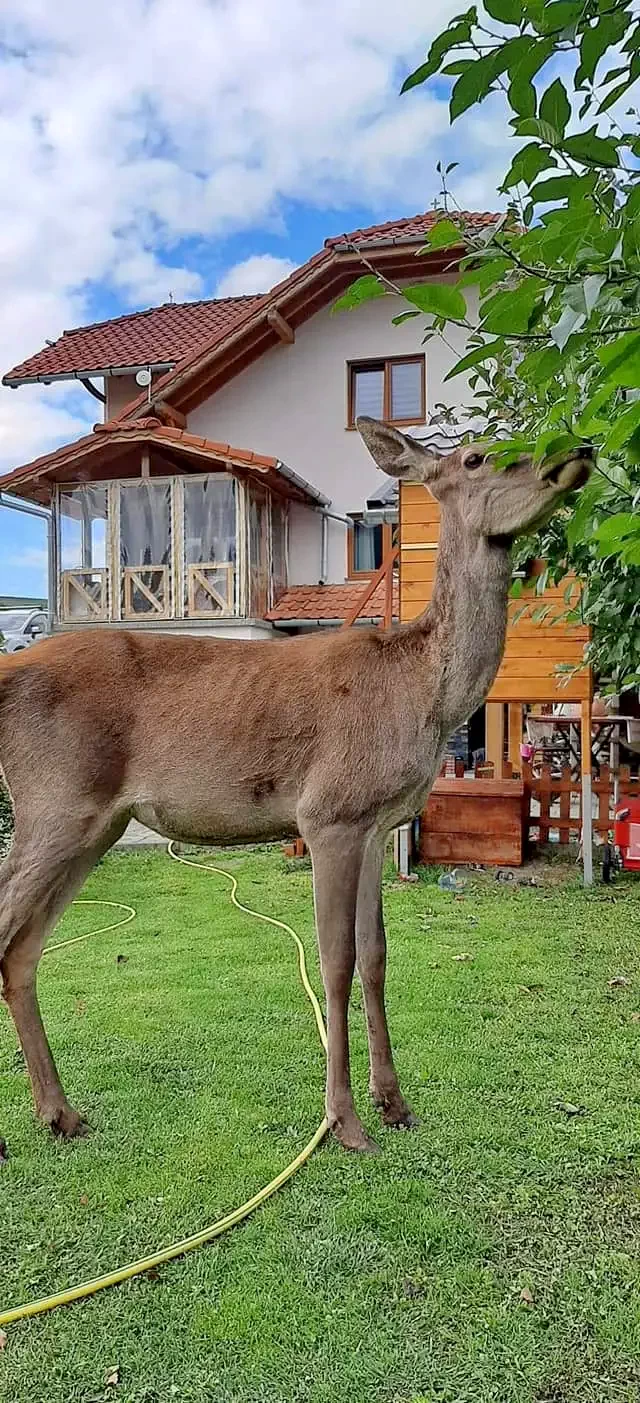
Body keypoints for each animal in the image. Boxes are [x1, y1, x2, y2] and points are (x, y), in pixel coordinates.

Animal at [0, 420, 592, 1156]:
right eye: (479, 456)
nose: (581, 451)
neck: (422, 696)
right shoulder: (330, 812)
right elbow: (334, 961)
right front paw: (345, 1122)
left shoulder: (377, 824)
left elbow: (376, 956)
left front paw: (395, 1102)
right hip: (53, 801)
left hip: (91, 823)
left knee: (23, 949)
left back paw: (61, 1113)